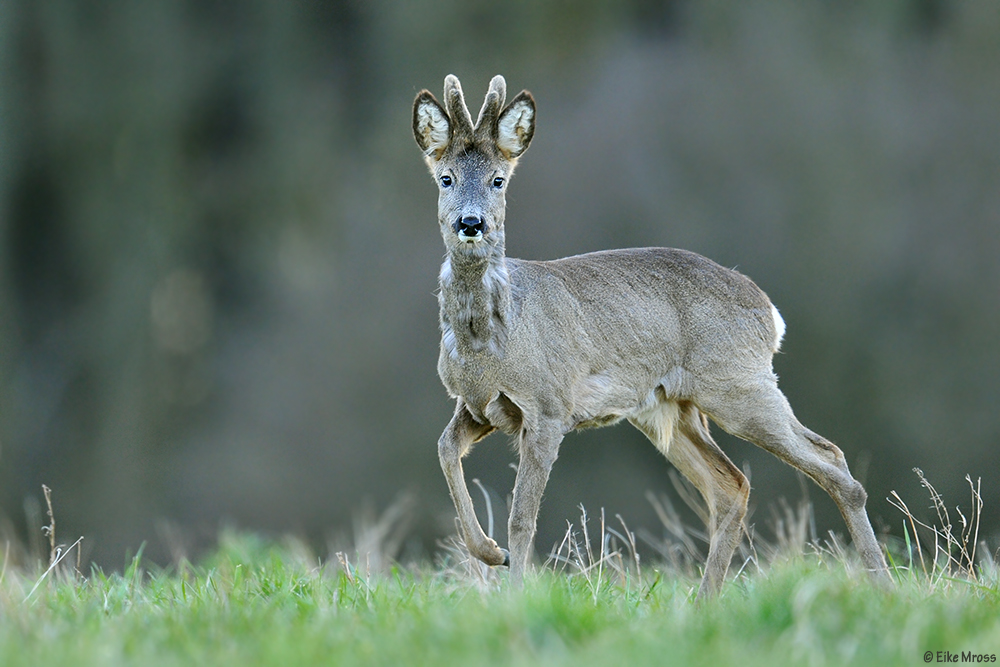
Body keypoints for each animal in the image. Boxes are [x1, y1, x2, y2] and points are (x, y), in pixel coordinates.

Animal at [414, 75, 892, 596]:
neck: (490, 343)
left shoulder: (549, 405)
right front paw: (488, 552)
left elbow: (523, 517)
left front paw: (515, 588)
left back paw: (883, 585)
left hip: (739, 385)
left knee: (832, 461)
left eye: (498, 180)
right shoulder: (475, 405)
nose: (471, 222)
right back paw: (705, 601)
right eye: (446, 178)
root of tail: (769, 311)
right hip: (671, 408)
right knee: (732, 485)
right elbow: (444, 450)